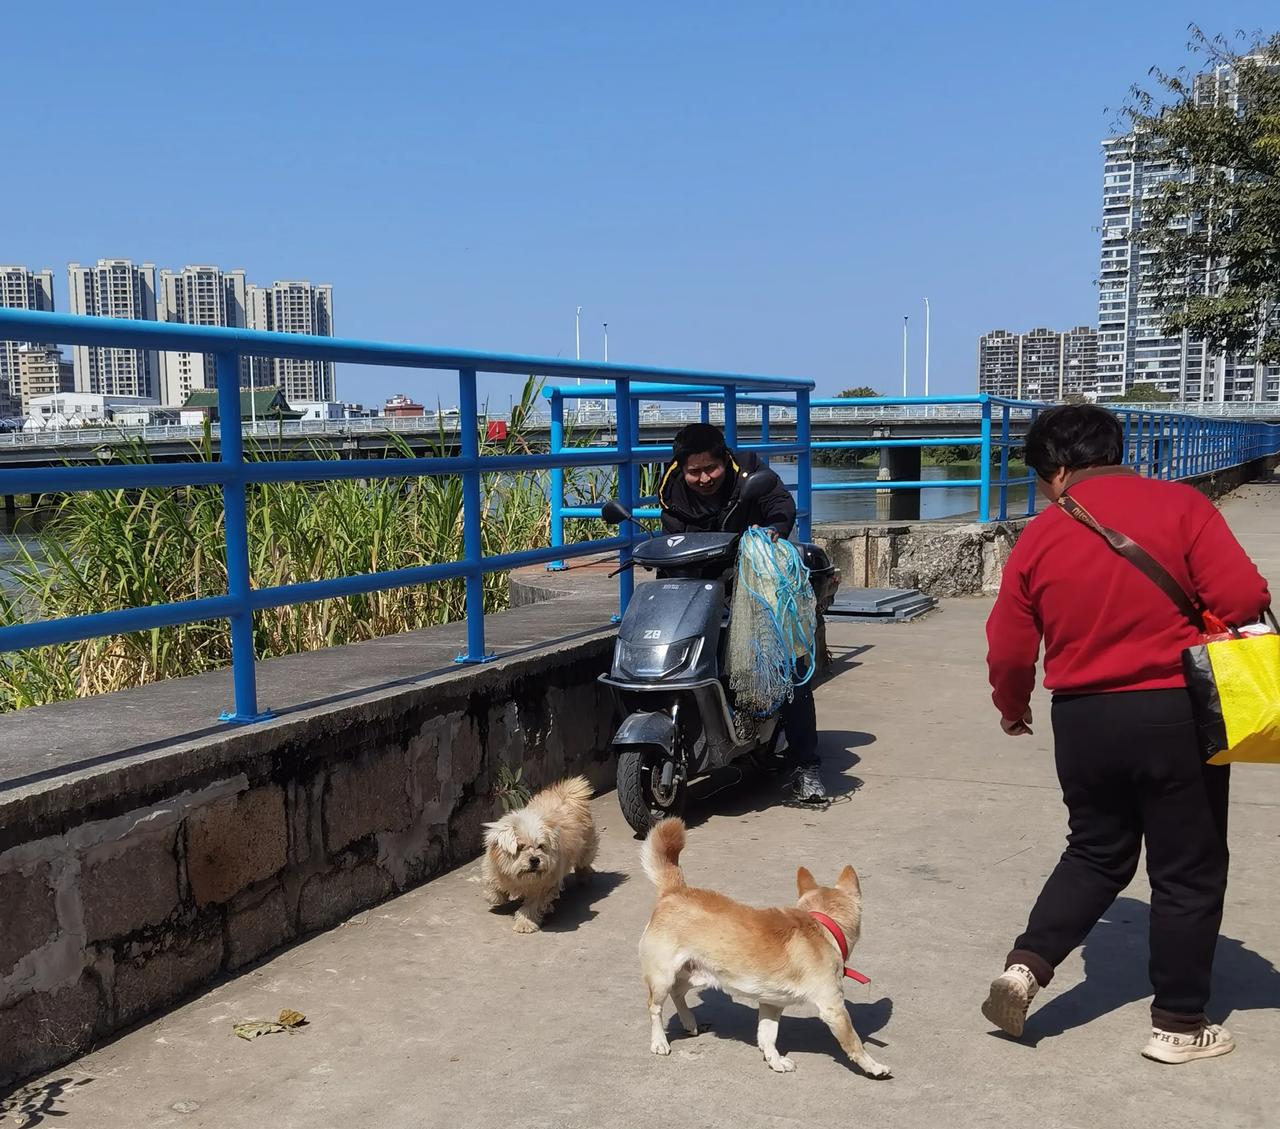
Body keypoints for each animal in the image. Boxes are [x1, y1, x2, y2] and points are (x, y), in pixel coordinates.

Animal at [481, 768, 596, 926]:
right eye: (520, 847)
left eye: (541, 846)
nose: (535, 859)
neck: (521, 878)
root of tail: (567, 794)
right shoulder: (493, 869)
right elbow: (493, 889)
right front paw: (495, 897)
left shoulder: (544, 886)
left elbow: (532, 905)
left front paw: (525, 922)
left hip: (585, 849)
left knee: (583, 863)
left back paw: (584, 877)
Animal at [637, 819, 890, 1075]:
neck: (821, 925)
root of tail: (675, 890)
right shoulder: (834, 1009)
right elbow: (854, 1043)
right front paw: (873, 1066)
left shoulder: (771, 1004)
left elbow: (767, 1034)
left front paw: (774, 1060)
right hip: (663, 977)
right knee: (654, 1006)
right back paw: (659, 1041)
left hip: (697, 973)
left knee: (678, 993)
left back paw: (689, 1021)